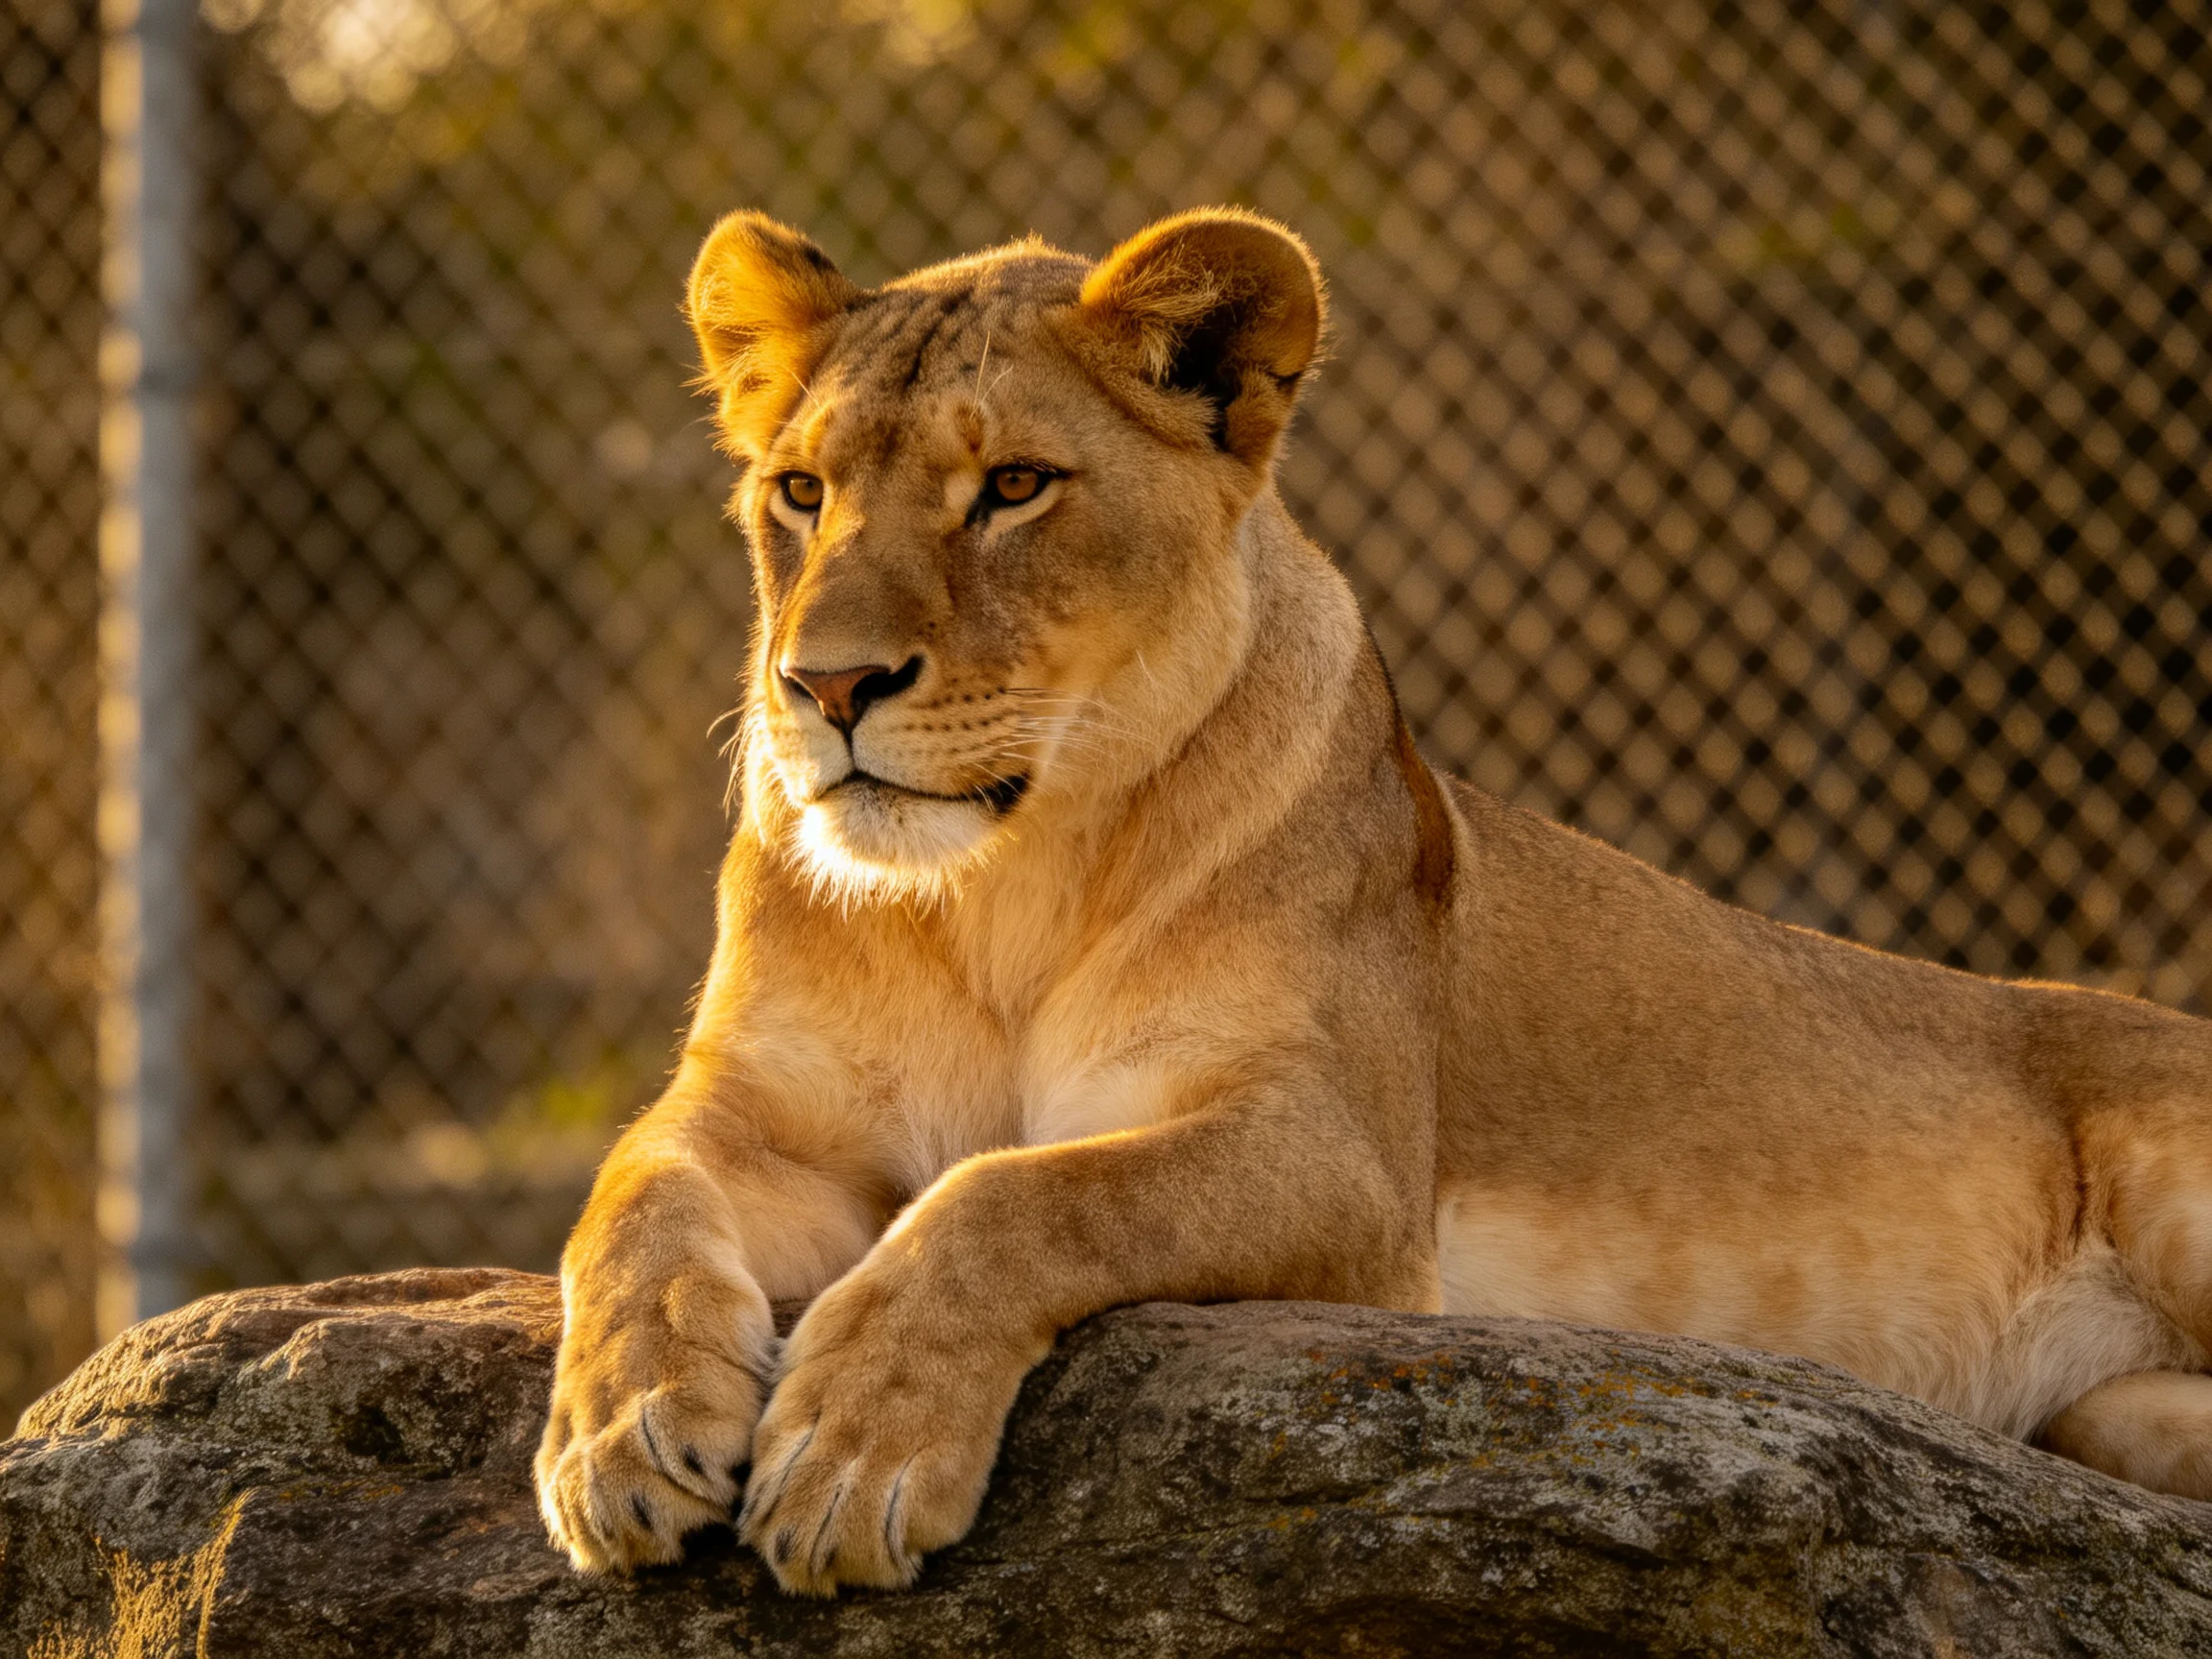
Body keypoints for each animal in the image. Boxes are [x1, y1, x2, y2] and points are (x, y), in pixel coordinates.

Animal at [534, 206, 2212, 1595]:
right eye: (799, 492)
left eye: (1012, 487)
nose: (825, 687)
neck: (992, 894)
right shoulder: (770, 1116)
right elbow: (629, 1198)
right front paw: (619, 1439)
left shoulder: (1341, 1159)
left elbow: (1018, 1195)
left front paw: (853, 1454)